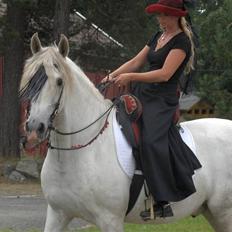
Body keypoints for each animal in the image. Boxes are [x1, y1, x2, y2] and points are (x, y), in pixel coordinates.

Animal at [19, 32, 232, 232]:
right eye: (29, 80)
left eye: (59, 81)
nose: (34, 128)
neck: (81, 152)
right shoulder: (58, 214)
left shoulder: (110, 219)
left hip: (224, 213)